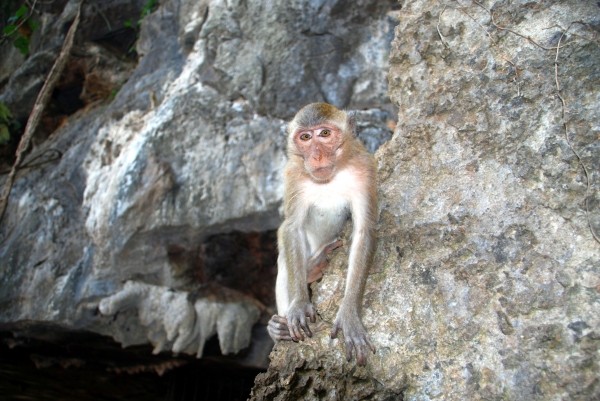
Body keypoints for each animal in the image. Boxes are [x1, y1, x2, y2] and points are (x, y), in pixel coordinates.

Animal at [270, 101, 378, 364]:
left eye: (325, 133)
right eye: (306, 137)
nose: (316, 156)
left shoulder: (365, 169)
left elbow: (363, 230)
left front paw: (349, 312)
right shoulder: (293, 174)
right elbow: (292, 228)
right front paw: (299, 304)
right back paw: (279, 328)